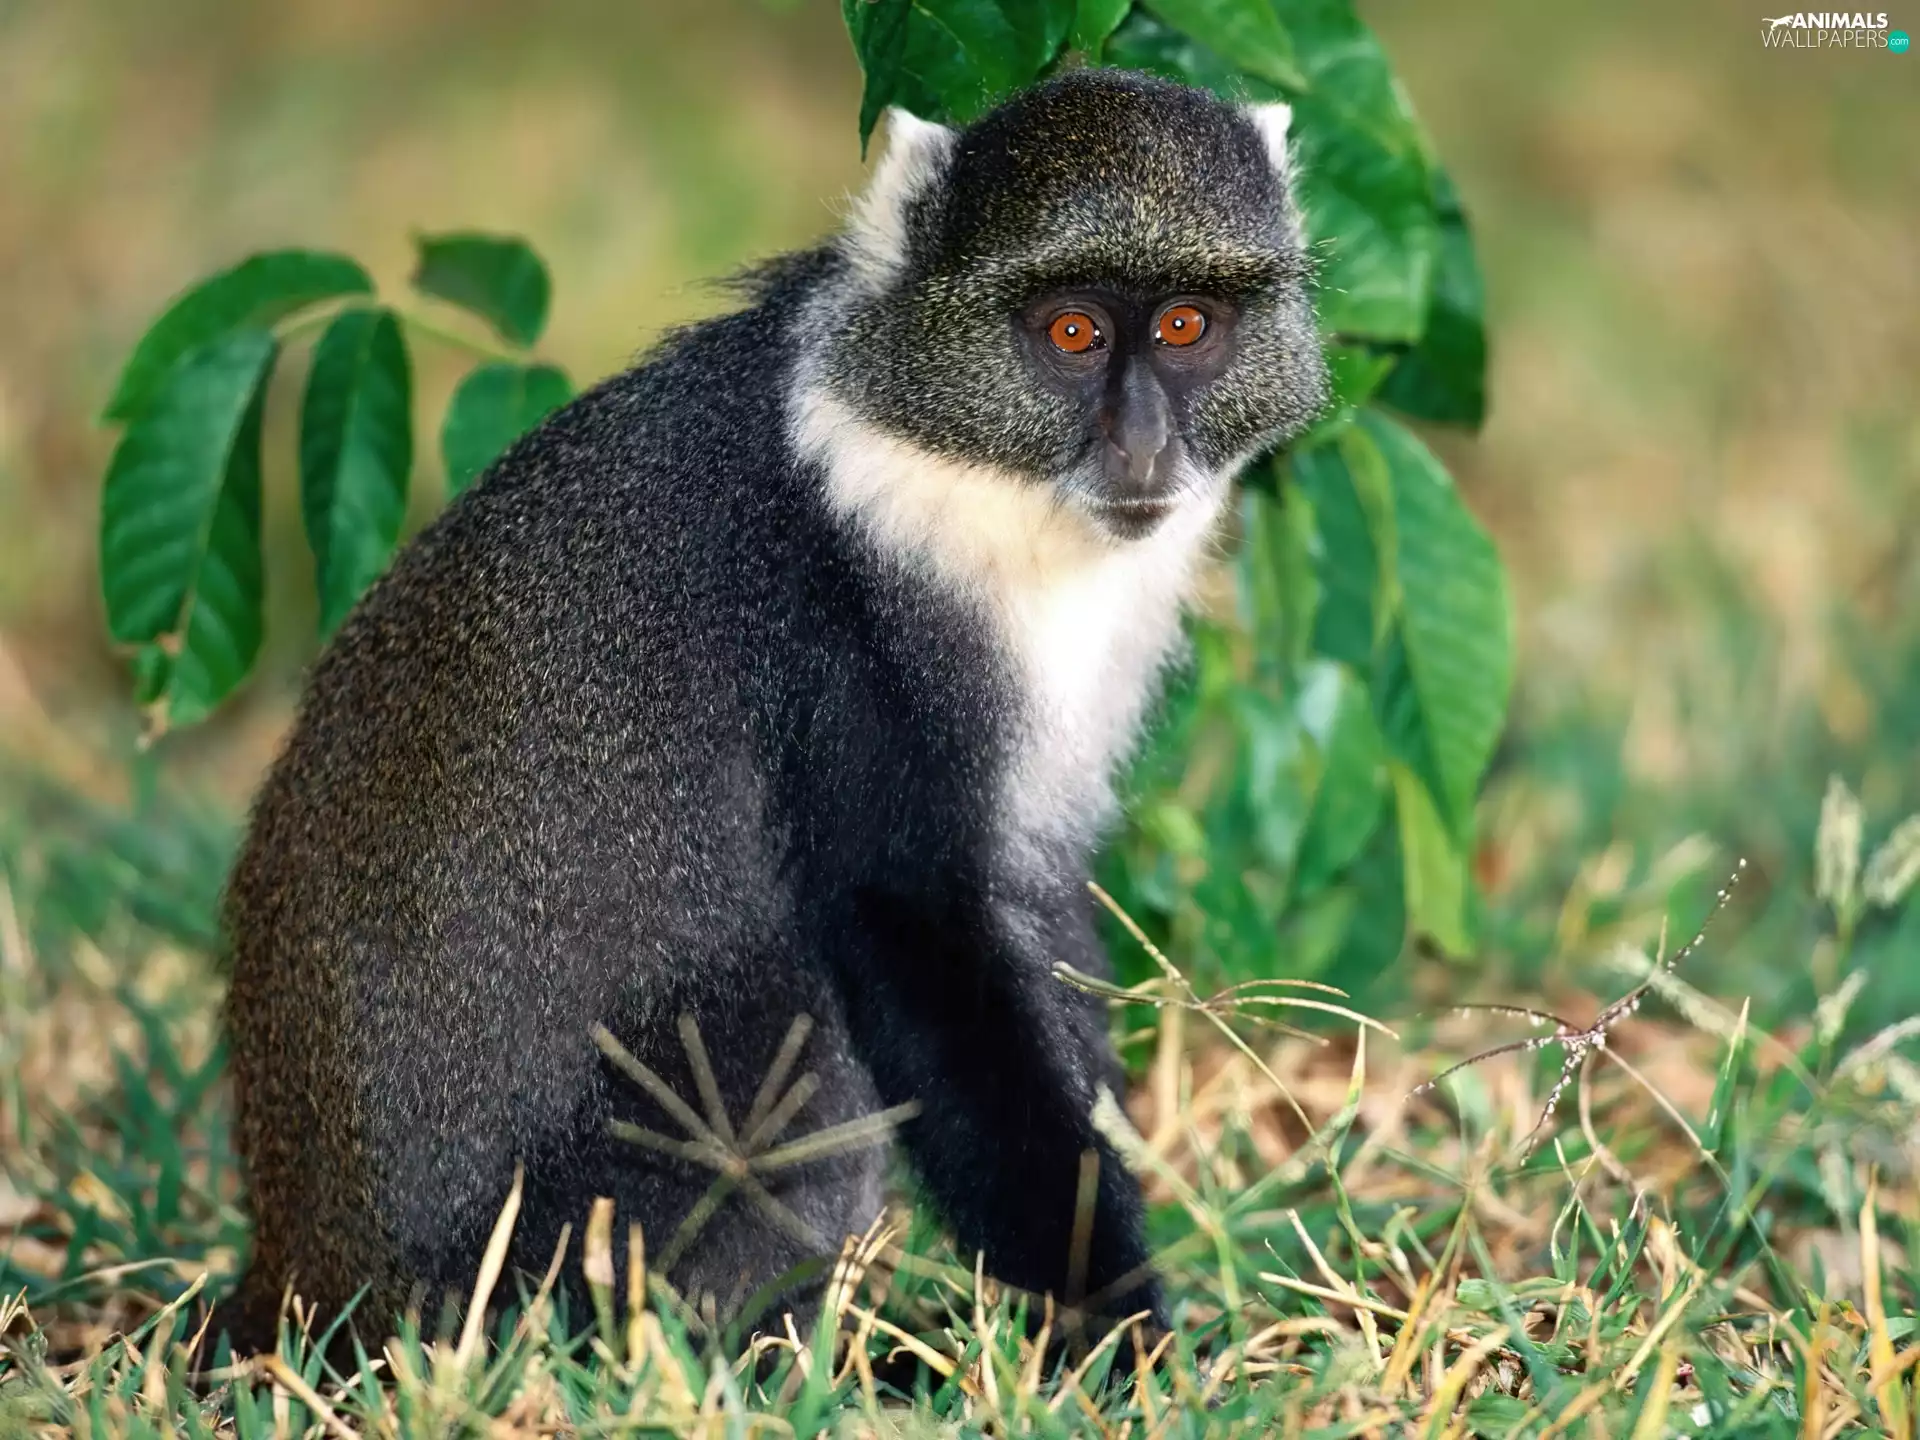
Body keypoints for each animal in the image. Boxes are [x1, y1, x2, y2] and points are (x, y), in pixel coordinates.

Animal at [212, 67, 1328, 1357]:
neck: (968, 471)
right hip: (551, 1236)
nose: (1142, 443)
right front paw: (1118, 1335)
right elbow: (914, 931)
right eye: (1073, 332)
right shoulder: (845, 641)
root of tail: (305, 1281)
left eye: (1188, 325)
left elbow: (1037, 912)